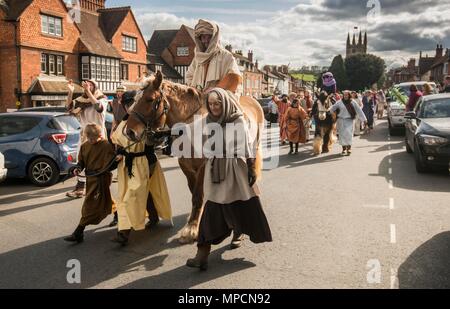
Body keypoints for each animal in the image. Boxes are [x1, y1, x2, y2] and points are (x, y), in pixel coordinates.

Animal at [123, 71, 264, 243]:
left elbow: (198, 195)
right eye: (135, 99)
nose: (129, 132)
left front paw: (191, 229)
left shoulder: (203, 165)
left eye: (149, 99)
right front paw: (195, 220)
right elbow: (195, 194)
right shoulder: (186, 167)